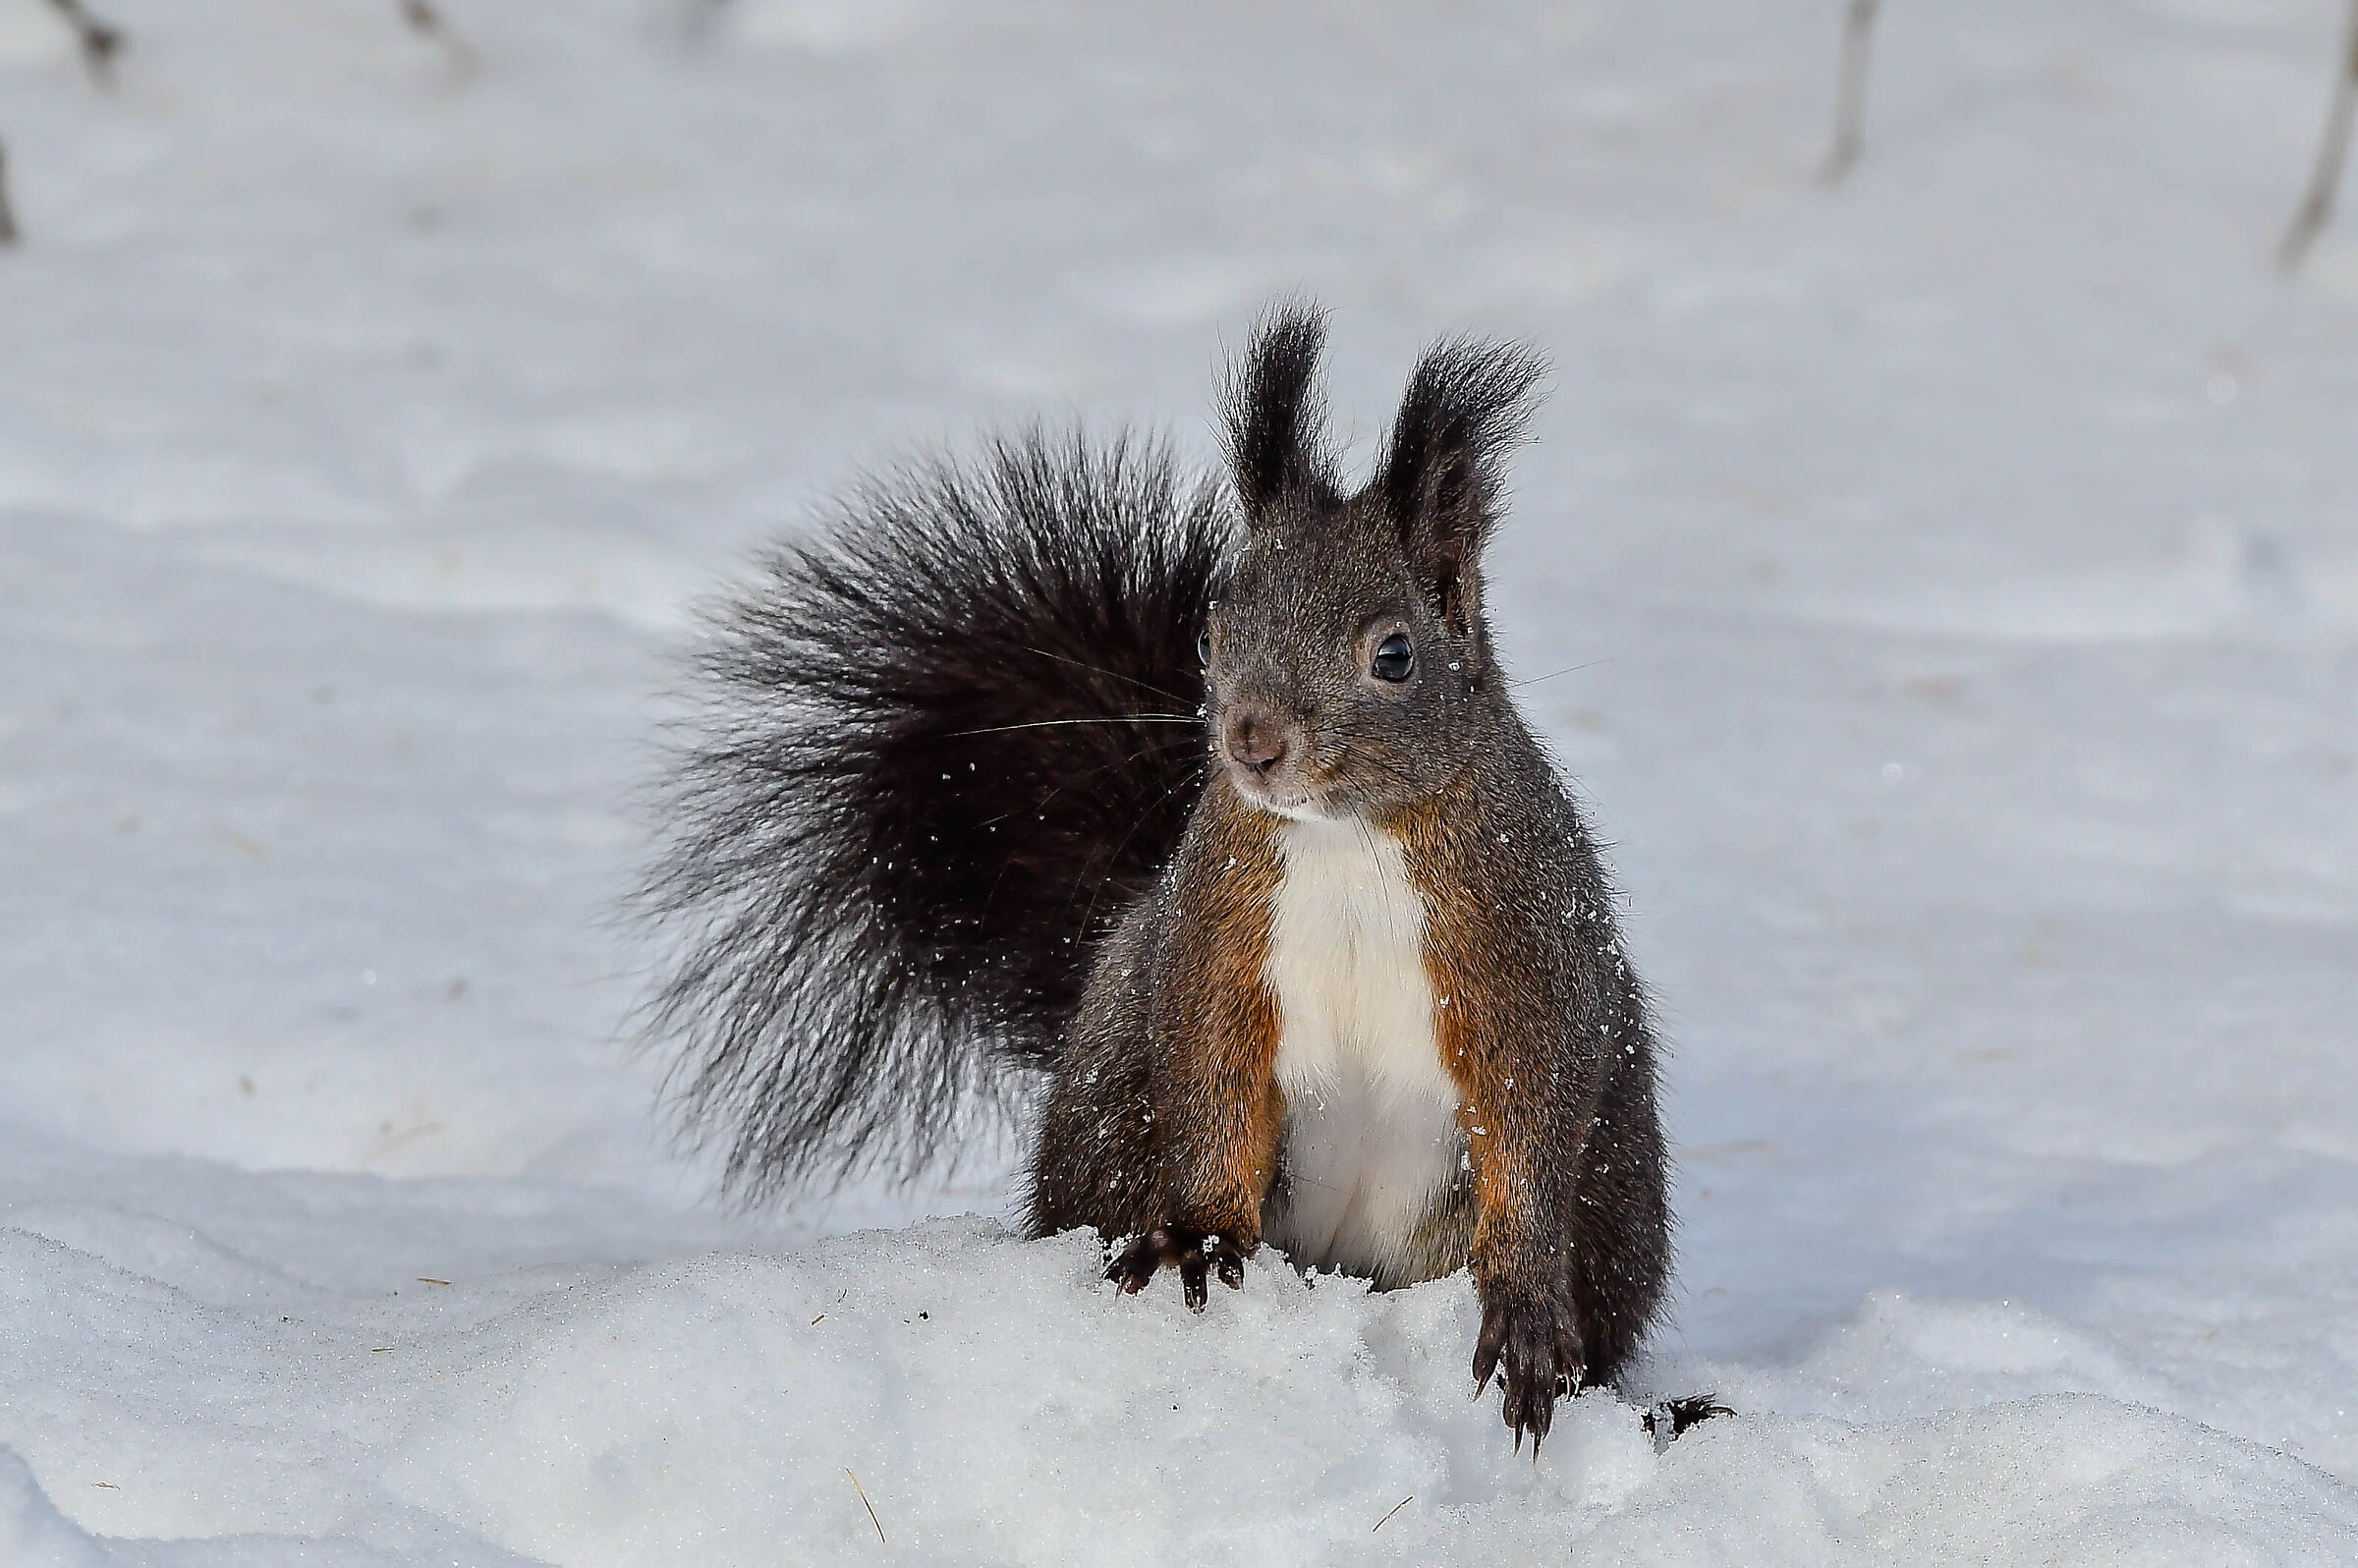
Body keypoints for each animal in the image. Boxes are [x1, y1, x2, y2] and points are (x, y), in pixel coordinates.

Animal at [640, 303, 1720, 1450]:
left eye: (1394, 655)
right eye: (1213, 632)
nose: (1251, 740)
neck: (1344, 841)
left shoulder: (1523, 944)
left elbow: (1530, 1119)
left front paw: (1522, 1314)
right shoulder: (1217, 930)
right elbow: (1210, 1077)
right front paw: (1197, 1238)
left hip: (1614, 1206)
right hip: (1112, 1103)